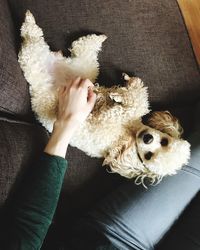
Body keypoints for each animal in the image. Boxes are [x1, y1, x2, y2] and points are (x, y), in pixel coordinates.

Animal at [18, 10, 190, 186]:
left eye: (148, 157)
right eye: (165, 141)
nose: (147, 138)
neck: (130, 130)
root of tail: (55, 58)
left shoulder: (103, 120)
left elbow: (129, 106)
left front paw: (119, 96)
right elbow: (140, 99)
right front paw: (128, 85)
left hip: (36, 61)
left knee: (34, 38)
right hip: (82, 63)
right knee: (78, 43)